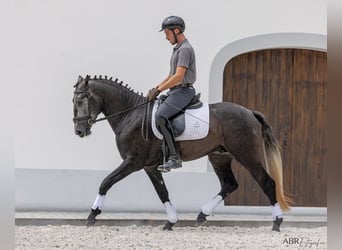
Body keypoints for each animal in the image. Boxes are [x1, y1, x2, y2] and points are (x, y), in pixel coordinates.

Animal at [72, 74, 292, 232]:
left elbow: (106, 182)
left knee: (266, 182)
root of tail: (250, 113)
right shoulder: (150, 167)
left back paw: (277, 222)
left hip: (247, 156)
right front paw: (171, 221)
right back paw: (202, 214)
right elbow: (163, 192)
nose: (79, 131)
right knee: (230, 184)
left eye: (82, 100)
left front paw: (92, 215)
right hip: (219, 157)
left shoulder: (133, 162)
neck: (130, 114)